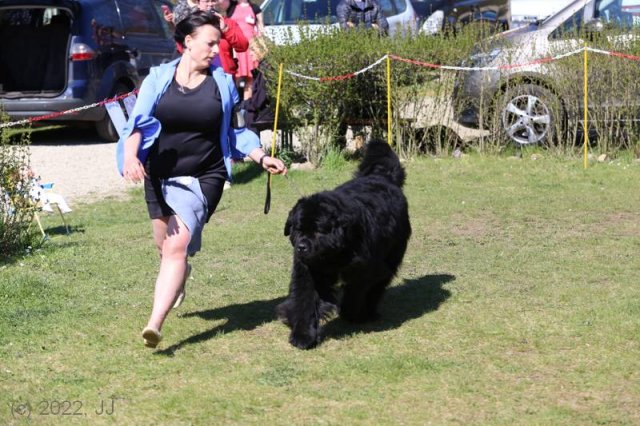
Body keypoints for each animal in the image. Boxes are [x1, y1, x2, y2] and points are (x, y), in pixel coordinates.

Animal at [278, 140, 412, 350]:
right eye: (298, 229)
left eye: (318, 231)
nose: (302, 247)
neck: (333, 254)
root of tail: (383, 177)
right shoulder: (307, 272)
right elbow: (305, 300)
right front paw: (303, 335)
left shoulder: (365, 269)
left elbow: (356, 292)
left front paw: (350, 313)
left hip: (390, 257)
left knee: (378, 286)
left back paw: (368, 312)